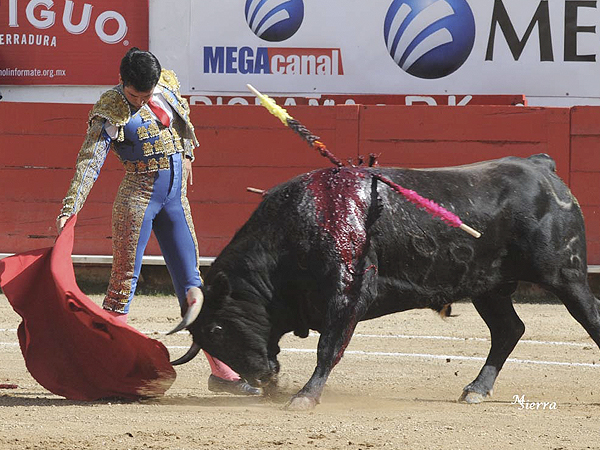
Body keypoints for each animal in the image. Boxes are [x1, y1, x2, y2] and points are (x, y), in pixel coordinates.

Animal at [169, 154, 600, 410]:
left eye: (219, 328)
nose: (262, 379)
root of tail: (540, 166)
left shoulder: (347, 295)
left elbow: (328, 348)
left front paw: (305, 397)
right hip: (488, 288)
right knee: (509, 329)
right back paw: (476, 389)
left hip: (566, 276)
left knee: (590, 317)